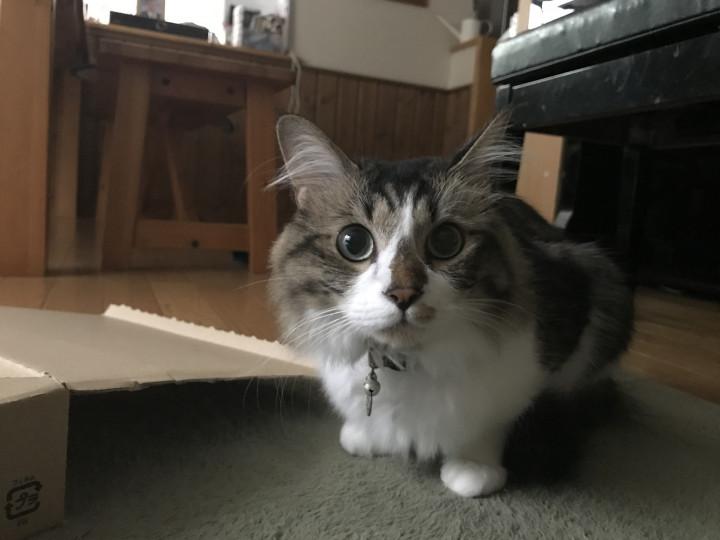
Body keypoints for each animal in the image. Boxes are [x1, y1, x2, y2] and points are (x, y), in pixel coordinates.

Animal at [268, 114, 633, 497]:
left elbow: (491, 423)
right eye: (353, 242)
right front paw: (366, 436)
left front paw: (473, 467)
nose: (403, 293)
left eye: (446, 242)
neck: (405, 362)